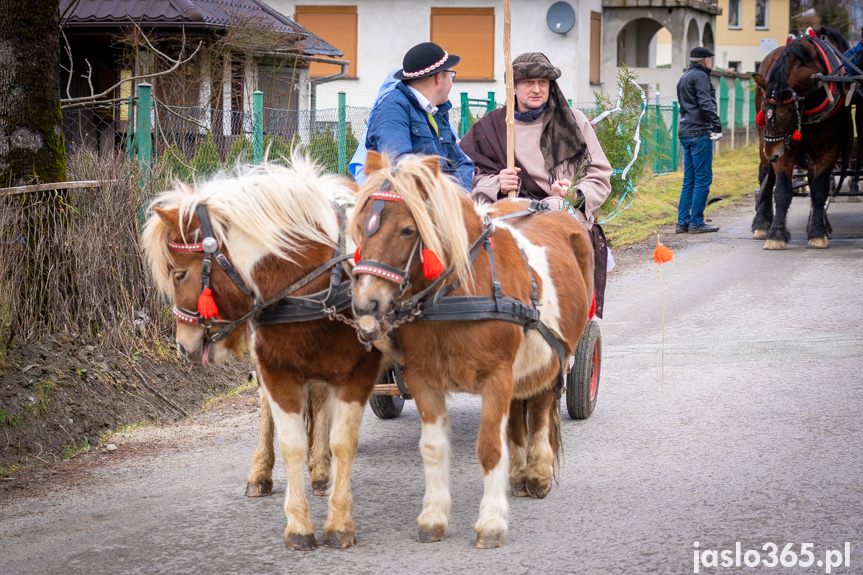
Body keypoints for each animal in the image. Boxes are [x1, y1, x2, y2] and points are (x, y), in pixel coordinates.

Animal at [143, 159, 388, 548]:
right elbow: (288, 438)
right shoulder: (275, 366)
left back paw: (320, 469)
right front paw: (298, 522)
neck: (314, 282)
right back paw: (261, 472)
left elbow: (342, 440)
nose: (183, 344)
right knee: (269, 410)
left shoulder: (355, 369)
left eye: (179, 273)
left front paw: (336, 513)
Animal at [348, 152, 596, 548]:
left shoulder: (497, 376)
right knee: (519, 413)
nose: (365, 303)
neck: (458, 294)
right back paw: (519, 473)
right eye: (360, 226)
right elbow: (434, 447)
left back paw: (537, 473)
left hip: (555, 354)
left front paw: (491, 521)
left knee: (541, 407)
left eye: (407, 230)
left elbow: (490, 446)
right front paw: (433, 516)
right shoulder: (423, 378)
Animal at [752, 29, 852, 250]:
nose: (772, 154)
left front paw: (817, 231)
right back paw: (761, 222)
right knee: (765, 177)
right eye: (764, 111)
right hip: (763, 141)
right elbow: (782, 191)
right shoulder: (785, 148)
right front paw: (776, 234)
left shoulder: (828, 148)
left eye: (785, 116)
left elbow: (819, 190)